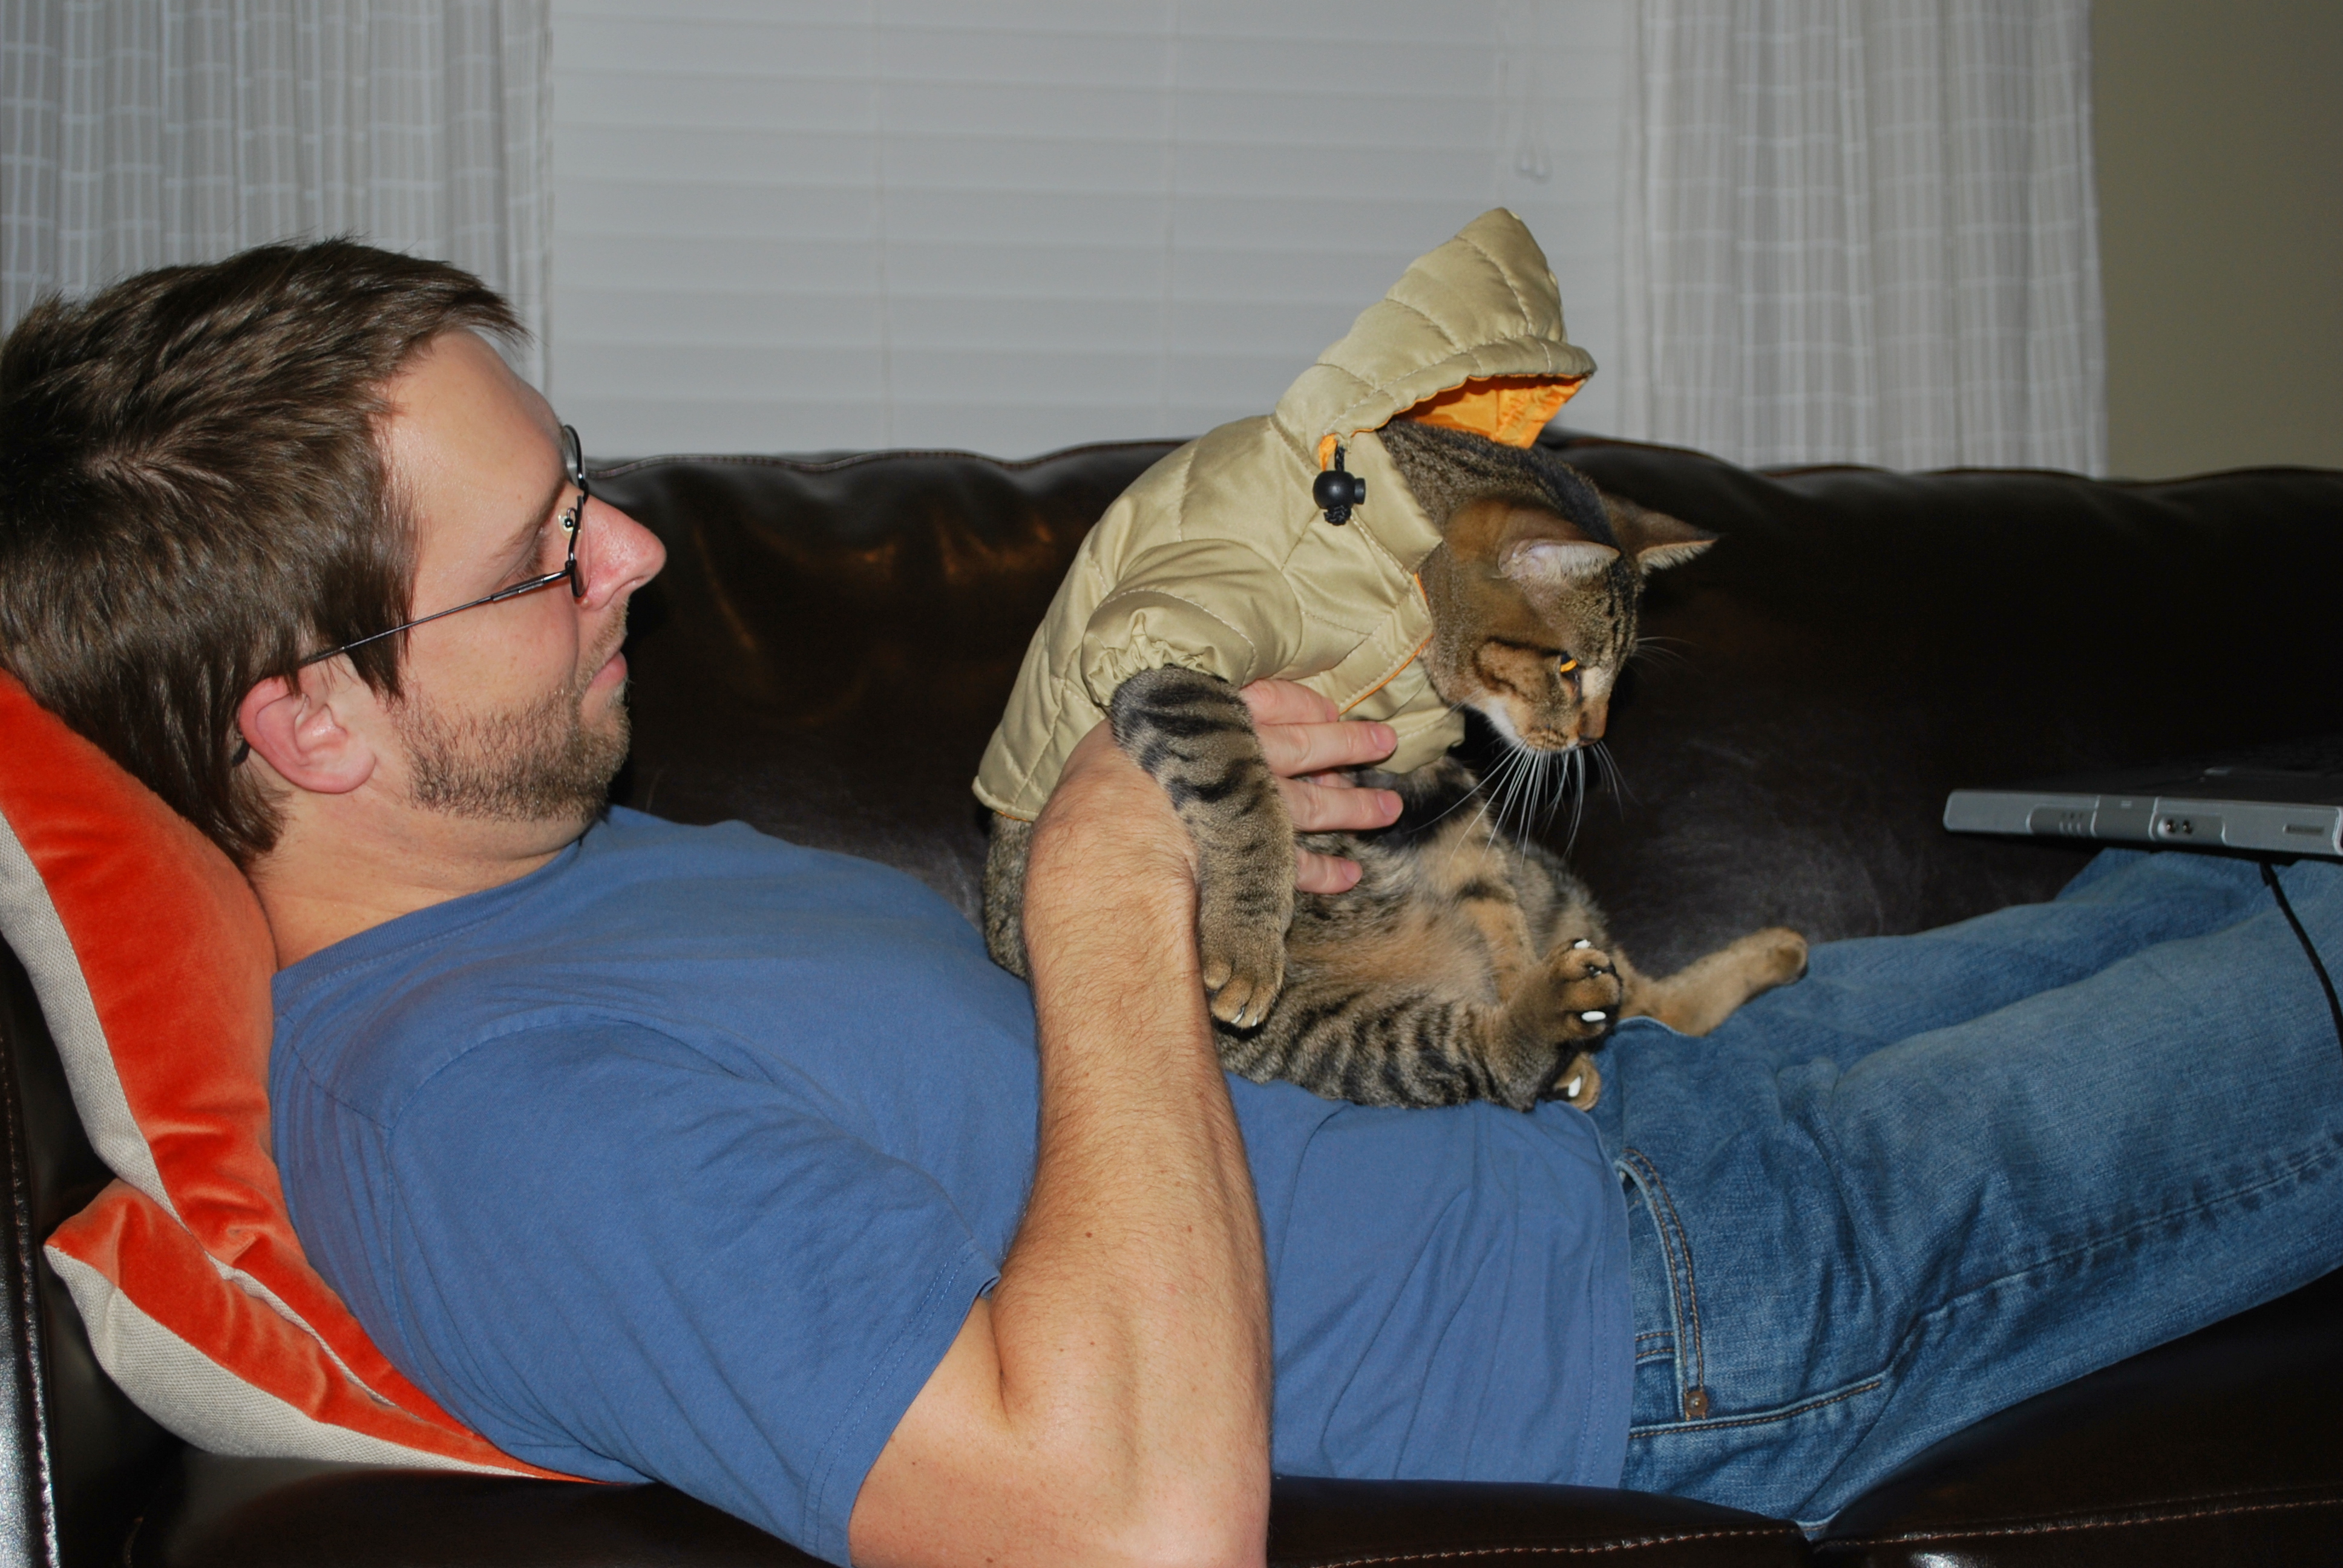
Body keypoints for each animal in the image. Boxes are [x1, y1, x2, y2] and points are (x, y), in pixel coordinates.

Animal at [982, 420, 1807, 1110]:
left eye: (1612, 675)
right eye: (1569, 667)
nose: (1589, 736)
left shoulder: (1421, 774)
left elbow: (1487, 896)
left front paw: (1514, 968)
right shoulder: (1170, 659)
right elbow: (1245, 801)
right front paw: (1246, 937)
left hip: (1545, 897)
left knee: (1642, 1002)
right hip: (1328, 1030)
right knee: (1491, 1058)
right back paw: (1551, 1023)